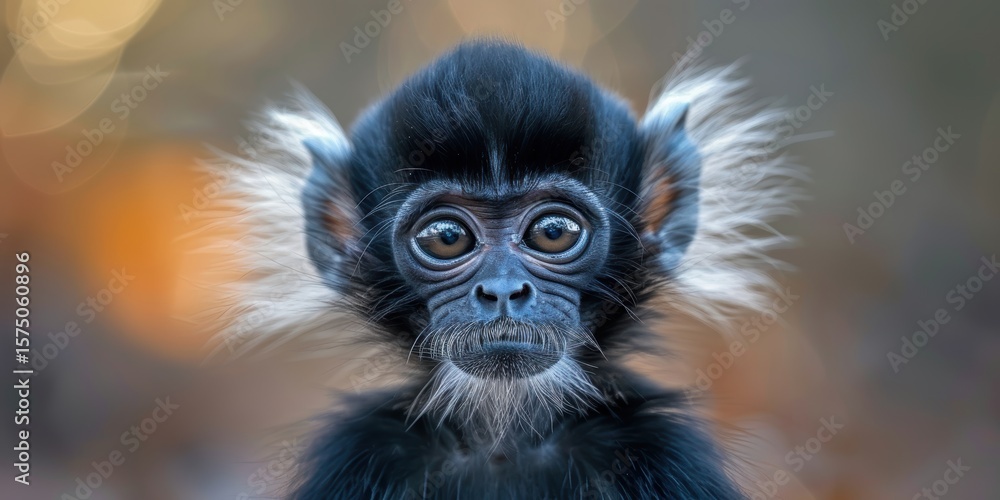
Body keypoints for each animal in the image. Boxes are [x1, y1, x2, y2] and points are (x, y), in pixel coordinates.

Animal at [204, 39, 799, 499]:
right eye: (446, 238)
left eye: (553, 232)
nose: (504, 290)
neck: (504, 440)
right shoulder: (363, 450)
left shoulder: (658, 450)